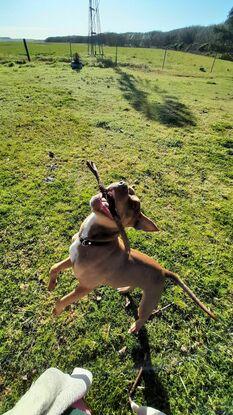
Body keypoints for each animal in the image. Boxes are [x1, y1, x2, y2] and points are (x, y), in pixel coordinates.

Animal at [48, 180, 215, 334]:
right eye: (129, 190)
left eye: (134, 205)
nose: (123, 183)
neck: (93, 241)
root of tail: (164, 271)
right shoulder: (72, 259)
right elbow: (54, 267)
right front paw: (51, 285)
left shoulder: (85, 287)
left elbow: (63, 300)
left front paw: (56, 311)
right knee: (133, 285)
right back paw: (124, 289)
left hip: (147, 303)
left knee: (143, 317)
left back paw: (135, 328)